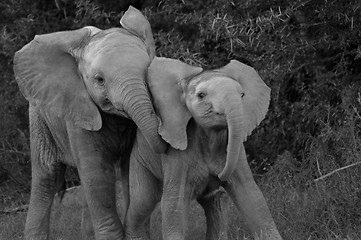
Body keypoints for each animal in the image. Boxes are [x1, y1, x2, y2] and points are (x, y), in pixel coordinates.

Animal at [13, 6, 166, 240]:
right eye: (99, 80)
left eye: (148, 71)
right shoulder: (78, 109)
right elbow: (97, 173)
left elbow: (129, 170)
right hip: (39, 115)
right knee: (47, 177)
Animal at [122, 57, 282, 239]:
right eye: (201, 95)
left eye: (242, 95)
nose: (219, 176)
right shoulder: (175, 153)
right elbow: (174, 205)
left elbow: (252, 198)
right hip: (140, 159)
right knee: (143, 201)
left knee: (213, 203)